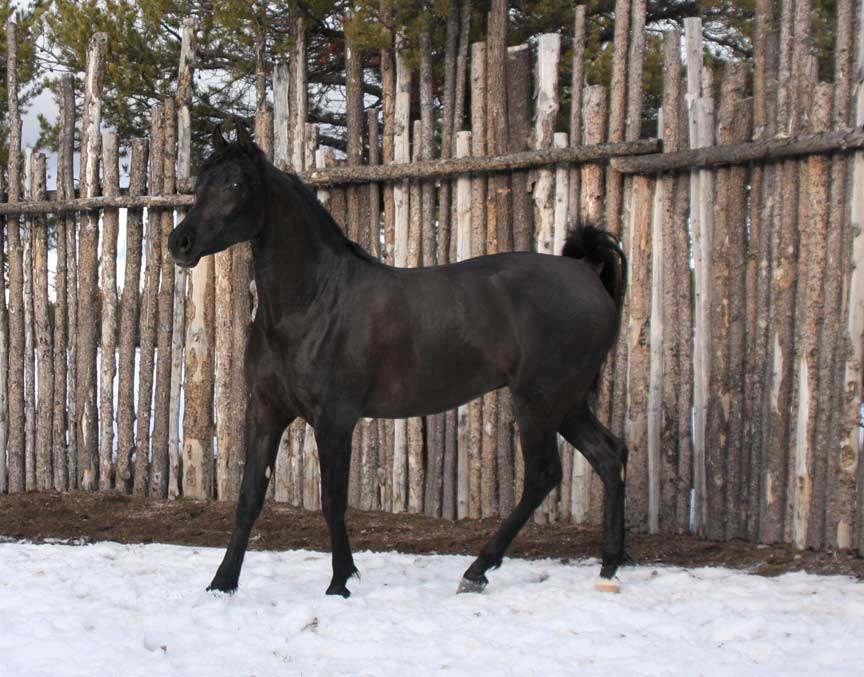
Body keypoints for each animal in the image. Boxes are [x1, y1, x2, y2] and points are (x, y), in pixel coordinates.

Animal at [168, 124, 629, 598]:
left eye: (235, 185)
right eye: (201, 183)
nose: (179, 243)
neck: (311, 301)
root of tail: (586, 274)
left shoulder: (334, 420)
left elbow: (333, 501)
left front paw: (340, 581)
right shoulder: (266, 411)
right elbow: (248, 498)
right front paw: (222, 582)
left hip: (540, 402)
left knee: (543, 475)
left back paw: (477, 570)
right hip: (567, 404)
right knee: (609, 455)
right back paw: (608, 566)